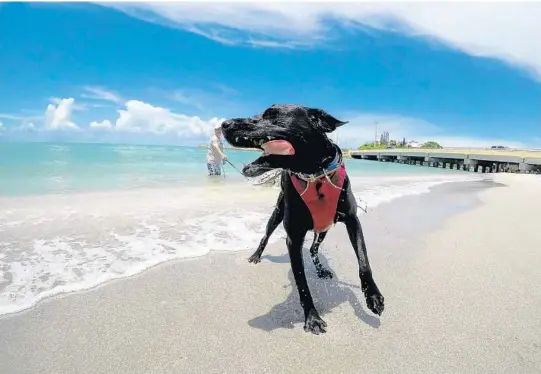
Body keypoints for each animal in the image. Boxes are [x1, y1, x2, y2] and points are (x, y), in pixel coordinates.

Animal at [220, 104, 384, 334]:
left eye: (272, 115)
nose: (224, 124)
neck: (315, 174)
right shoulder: (294, 237)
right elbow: (302, 283)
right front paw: (312, 317)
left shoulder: (353, 221)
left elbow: (364, 261)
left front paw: (374, 297)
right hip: (278, 214)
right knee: (265, 236)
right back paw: (256, 255)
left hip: (323, 227)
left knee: (314, 248)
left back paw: (321, 269)